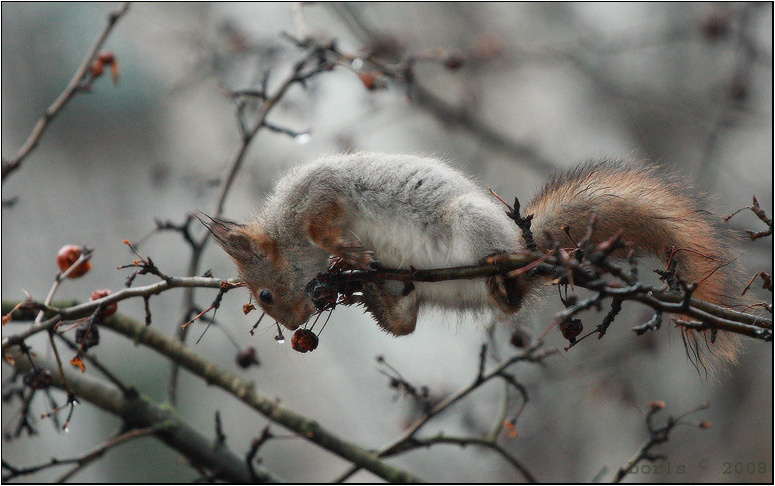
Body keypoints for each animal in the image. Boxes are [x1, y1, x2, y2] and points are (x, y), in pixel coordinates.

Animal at [203, 152, 741, 362]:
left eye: (265, 294)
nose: (295, 323)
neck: (285, 230)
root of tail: (525, 247)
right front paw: (343, 272)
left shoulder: (321, 193)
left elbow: (325, 226)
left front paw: (342, 252)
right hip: (414, 283)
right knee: (405, 322)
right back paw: (373, 293)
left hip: (469, 224)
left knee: (510, 298)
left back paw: (501, 280)